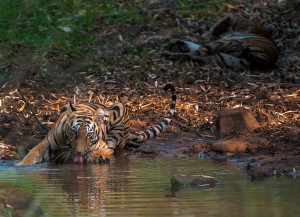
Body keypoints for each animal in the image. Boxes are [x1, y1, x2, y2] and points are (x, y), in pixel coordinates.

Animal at [15, 84, 176, 165]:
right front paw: (20, 166)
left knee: (112, 148)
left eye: (89, 135)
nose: (79, 153)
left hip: (119, 111)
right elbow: (33, 153)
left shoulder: (100, 145)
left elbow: (102, 151)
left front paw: (94, 156)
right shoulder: (47, 143)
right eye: (74, 132)